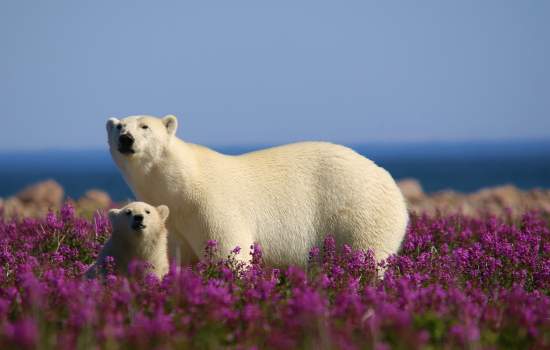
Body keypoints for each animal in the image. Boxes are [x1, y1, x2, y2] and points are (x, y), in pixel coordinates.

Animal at [106, 114, 410, 266]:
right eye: (119, 126)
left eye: (145, 126)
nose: (126, 138)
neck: (181, 184)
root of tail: (389, 179)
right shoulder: (174, 221)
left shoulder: (211, 205)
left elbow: (228, 251)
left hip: (359, 211)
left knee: (366, 255)